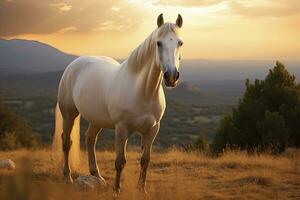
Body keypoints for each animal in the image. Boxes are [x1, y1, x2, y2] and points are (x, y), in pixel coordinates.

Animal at [52, 13, 183, 192]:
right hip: (69, 115)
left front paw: (142, 190)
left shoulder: (153, 129)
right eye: (158, 43)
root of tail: (74, 65)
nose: (171, 76)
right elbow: (120, 161)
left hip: (97, 120)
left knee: (90, 139)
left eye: (180, 43)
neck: (143, 92)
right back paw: (68, 177)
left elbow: (145, 160)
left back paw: (96, 175)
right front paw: (117, 190)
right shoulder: (122, 128)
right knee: (67, 142)